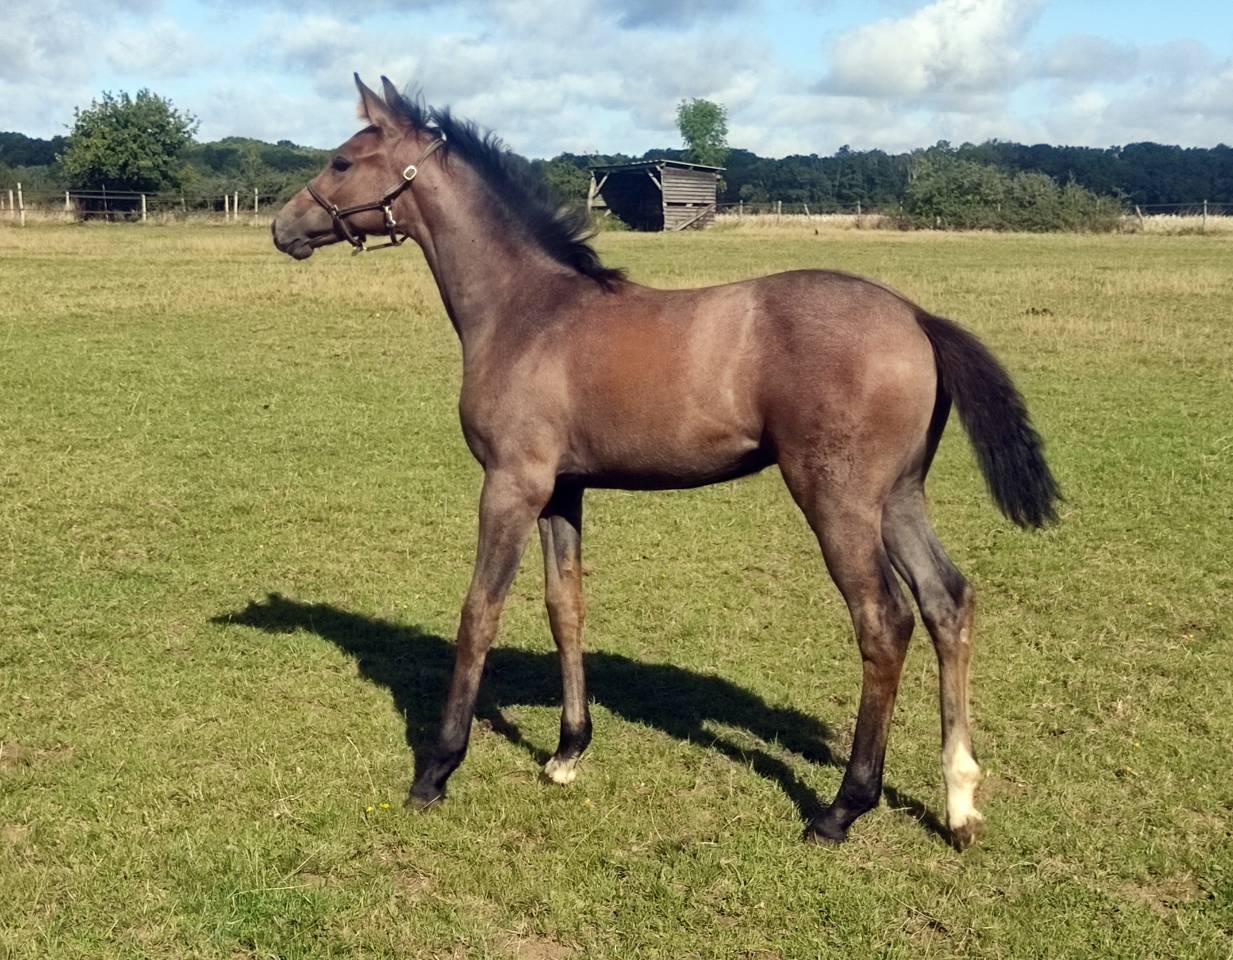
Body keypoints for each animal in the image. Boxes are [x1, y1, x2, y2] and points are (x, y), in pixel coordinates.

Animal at [272, 75, 1060, 849]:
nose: (283, 228)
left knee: (884, 619)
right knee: (946, 600)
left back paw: (842, 809)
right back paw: (959, 802)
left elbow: (480, 610)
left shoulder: (511, 485)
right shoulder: (563, 490)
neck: (529, 313)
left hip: (837, 499)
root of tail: (916, 318)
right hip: (896, 497)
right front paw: (567, 751)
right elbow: (565, 604)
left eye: (341, 161)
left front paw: (436, 769)